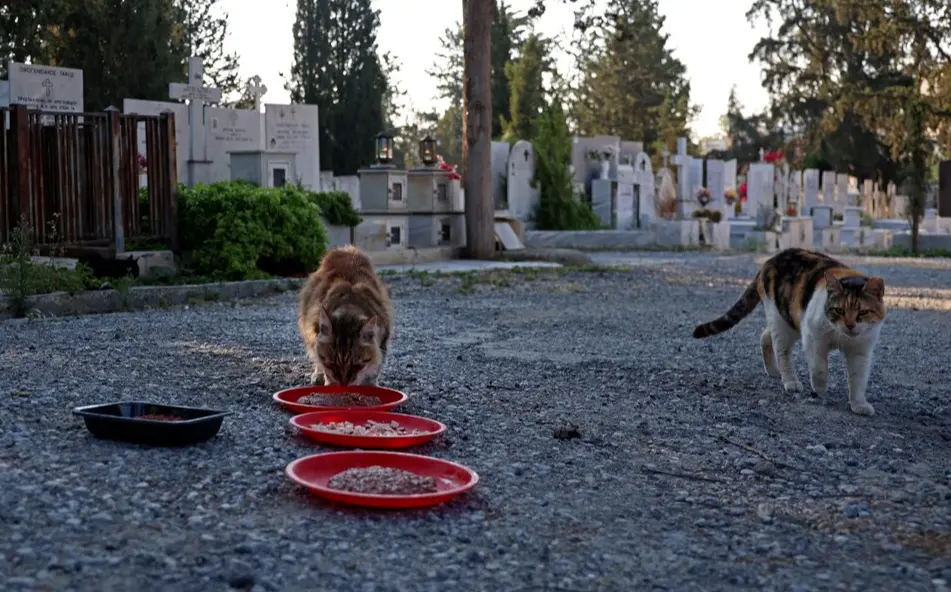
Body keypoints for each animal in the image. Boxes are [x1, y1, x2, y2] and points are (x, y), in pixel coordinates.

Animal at [298, 245, 393, 386]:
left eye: (356, 366)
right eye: (332, 364)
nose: (344, 383)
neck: (350, 305)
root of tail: (345, 249)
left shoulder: (382, 342)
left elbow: (373, 371)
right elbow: (324, 366)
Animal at [692, 248, 886, 416]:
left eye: (863, 312)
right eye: (839, 310)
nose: (850, 325)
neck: (841, 336)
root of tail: (769, 261)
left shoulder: (861, 352)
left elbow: (858, 379)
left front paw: (859, 404)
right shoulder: (812, 336)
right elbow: (819, 367)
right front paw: (820, 386)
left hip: (787, 320)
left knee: (765, 337)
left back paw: (772, 370)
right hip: (782, 322)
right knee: (781, 351)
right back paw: (790, 380)